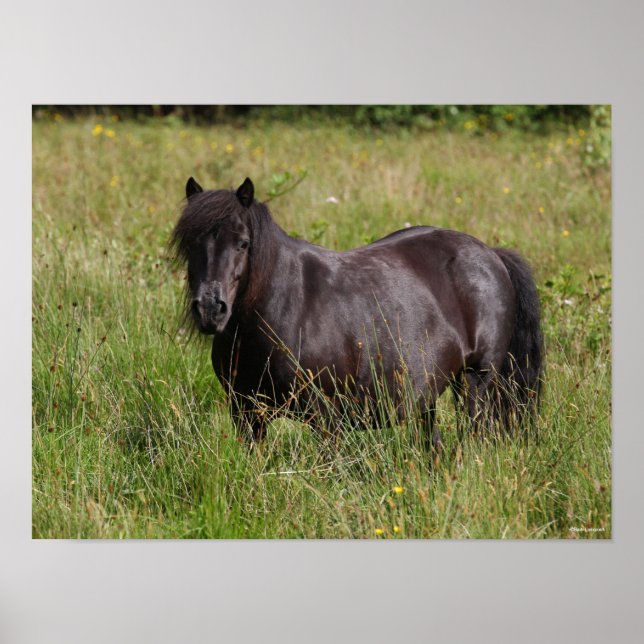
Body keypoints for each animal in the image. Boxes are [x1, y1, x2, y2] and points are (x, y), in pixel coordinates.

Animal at [171, 176, 543, 451]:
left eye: (244, 243)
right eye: (189, 244)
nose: (210, 309)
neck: (284, 308)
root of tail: (490, 254)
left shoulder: (324, 416)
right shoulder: (247, 413)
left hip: (476, 382)